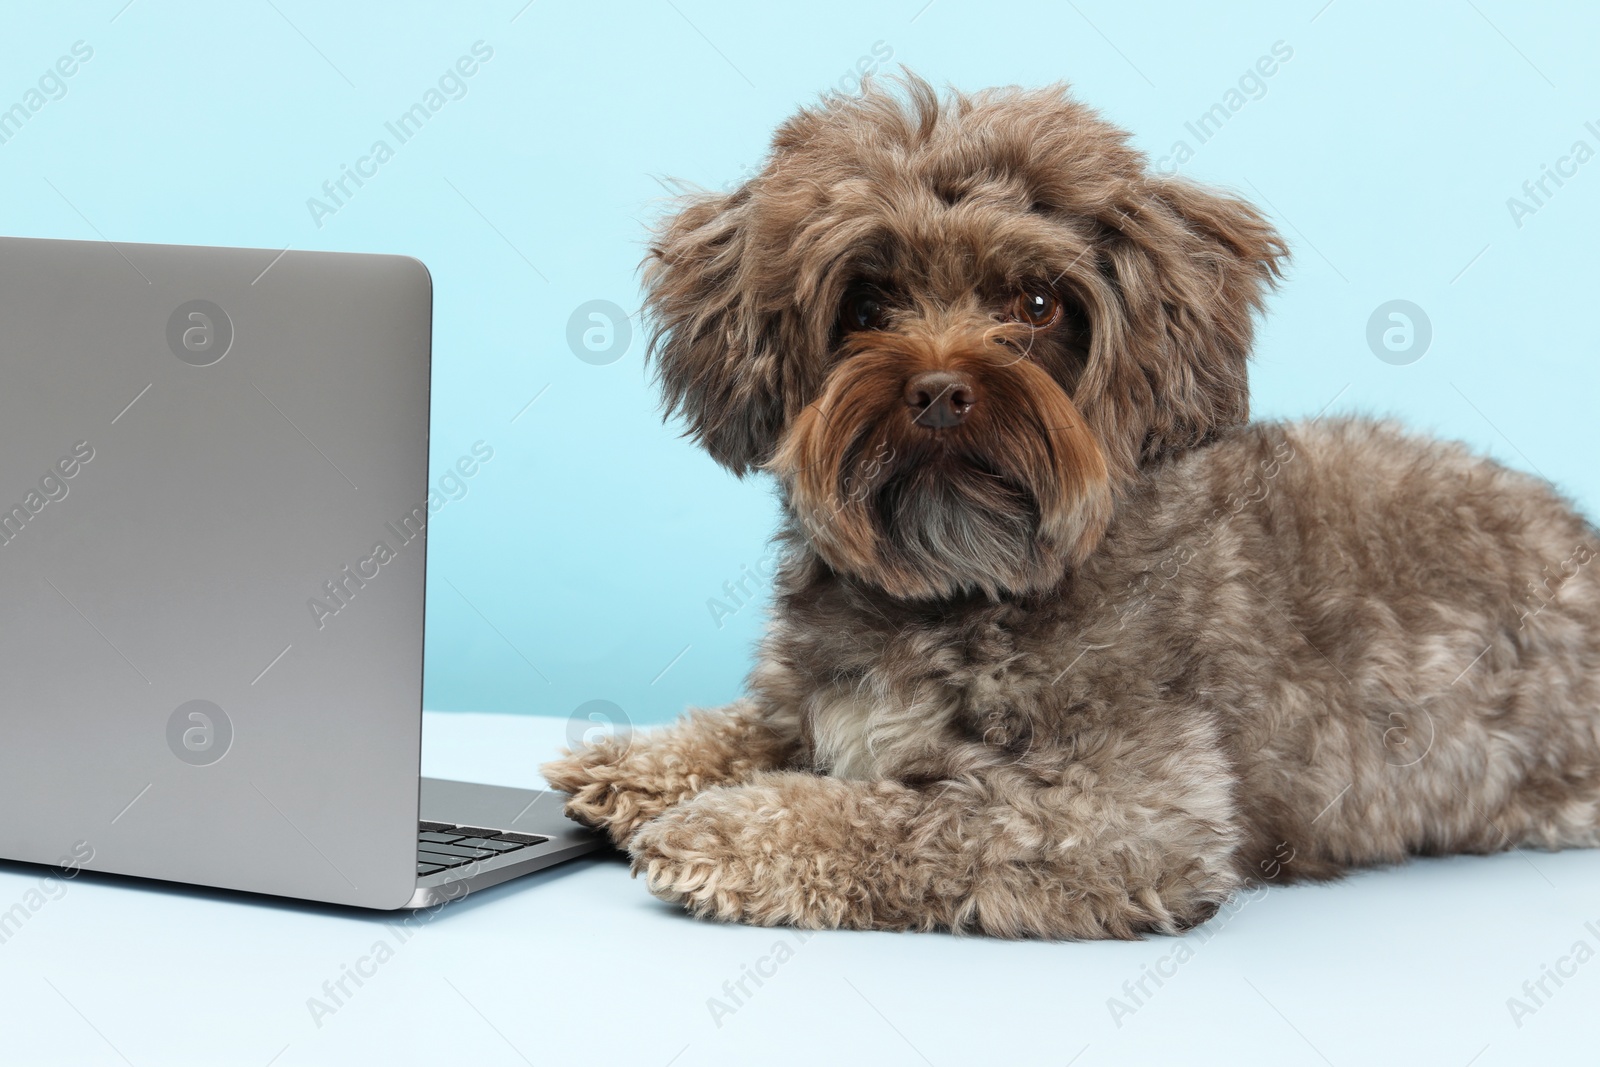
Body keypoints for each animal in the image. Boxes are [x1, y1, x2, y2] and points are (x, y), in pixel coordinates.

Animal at [544, 75, 1600, 940]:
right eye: (867, 301)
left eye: (1040, 302)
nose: (940, 390)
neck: (960, 585)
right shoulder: (818, 697)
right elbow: (763, 720)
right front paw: (643, 762)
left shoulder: (1122, 817)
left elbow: (913, 812)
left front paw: (729, 828)